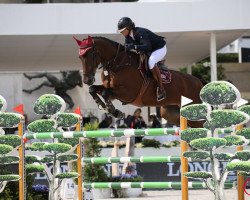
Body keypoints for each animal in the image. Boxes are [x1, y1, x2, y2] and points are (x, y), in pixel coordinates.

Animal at [73, 35, 203, 126]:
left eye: (92, 54)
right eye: (80, 57)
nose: (87, 80)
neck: (117, 64)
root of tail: (199, 83)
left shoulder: (128, 93)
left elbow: (105, 92)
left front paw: (115, 112)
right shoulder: (112, 91)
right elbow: (93, 89)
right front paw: (104, 106)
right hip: (170, 112)